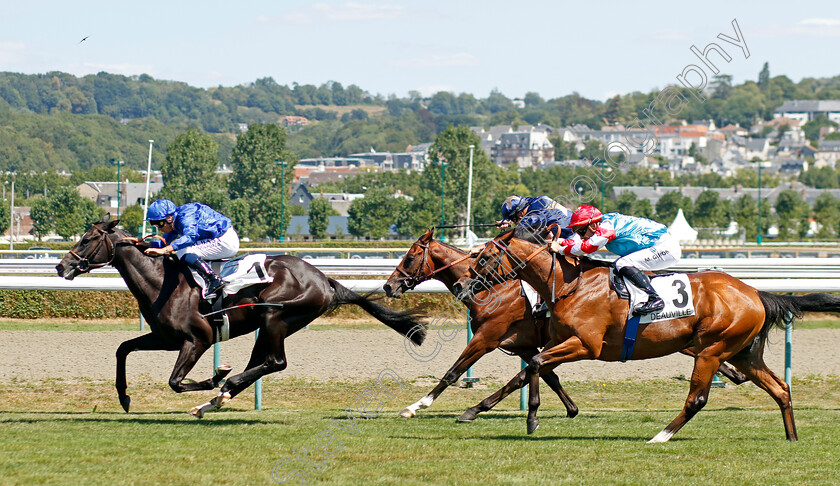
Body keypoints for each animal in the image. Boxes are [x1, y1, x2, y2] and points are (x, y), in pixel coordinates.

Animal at [54, 216, 426, 418]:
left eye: (87, 239)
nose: (61, 266)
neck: (162, 281)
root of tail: (323, 278)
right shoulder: (164, 337)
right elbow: (122, 348)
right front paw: (124, 397)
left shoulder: (198, 339)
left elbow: (175, 381)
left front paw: (217, 374)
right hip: (272, 325)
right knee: (261, 363)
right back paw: (214, 401)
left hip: (275, 314)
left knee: (275, 362)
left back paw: (224, 387)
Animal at [384, 228, 580, 418]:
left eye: (409, 258)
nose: (388, 286)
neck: (491, 289)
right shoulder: (522, 346)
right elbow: (548, 376)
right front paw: (571, 408)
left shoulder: (484, 339)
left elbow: (453, 372)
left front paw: (417, 405)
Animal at [456, 230, 840, 442]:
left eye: (485, 256)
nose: (465, 286)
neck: (569, 284)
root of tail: (755, 292)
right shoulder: (555, 341)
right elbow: (533, 368)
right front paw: (522, 414)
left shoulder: (586, 345)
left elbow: (533, 365)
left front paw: (531, 417)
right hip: (743, 353)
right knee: (780, 388)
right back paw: (791, 438)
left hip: (712, 350)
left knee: (697, 399)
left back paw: (660, 437)